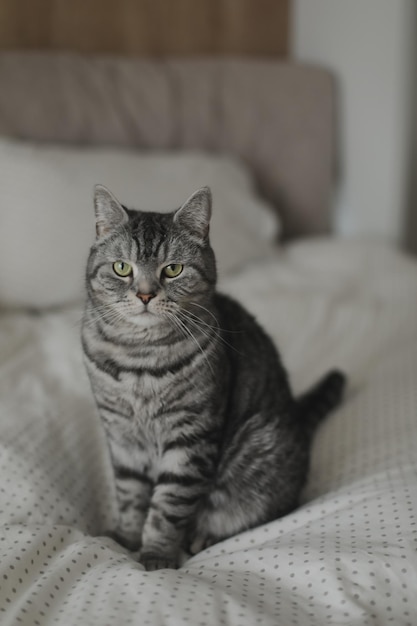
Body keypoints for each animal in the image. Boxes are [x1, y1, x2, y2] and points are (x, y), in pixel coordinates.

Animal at [81, 183, 344, 568]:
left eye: (173, 269)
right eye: (121, 268)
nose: (145, 294)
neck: (140, 358)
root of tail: (295, 417)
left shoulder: (191, 437)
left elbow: (167, 506)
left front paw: (156, 555)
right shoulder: (121, 435)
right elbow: (130, 495)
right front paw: (126, 538)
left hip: (259, 451)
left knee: (264, 512)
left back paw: (204, 537)